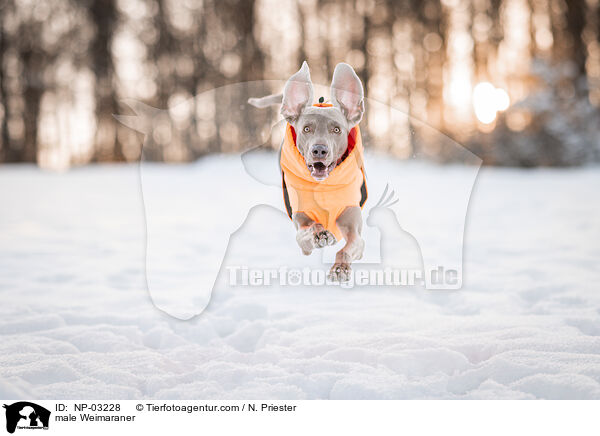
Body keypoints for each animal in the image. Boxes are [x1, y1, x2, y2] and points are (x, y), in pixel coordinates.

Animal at [247, 62, 366, 282]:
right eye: (306, 129)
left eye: (337, 129)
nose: (319, 150)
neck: (323, 186)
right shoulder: (300, 226)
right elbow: (306, 232)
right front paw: (319, 234)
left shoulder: (354, 229)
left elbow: (348, 247)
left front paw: (340, 268)